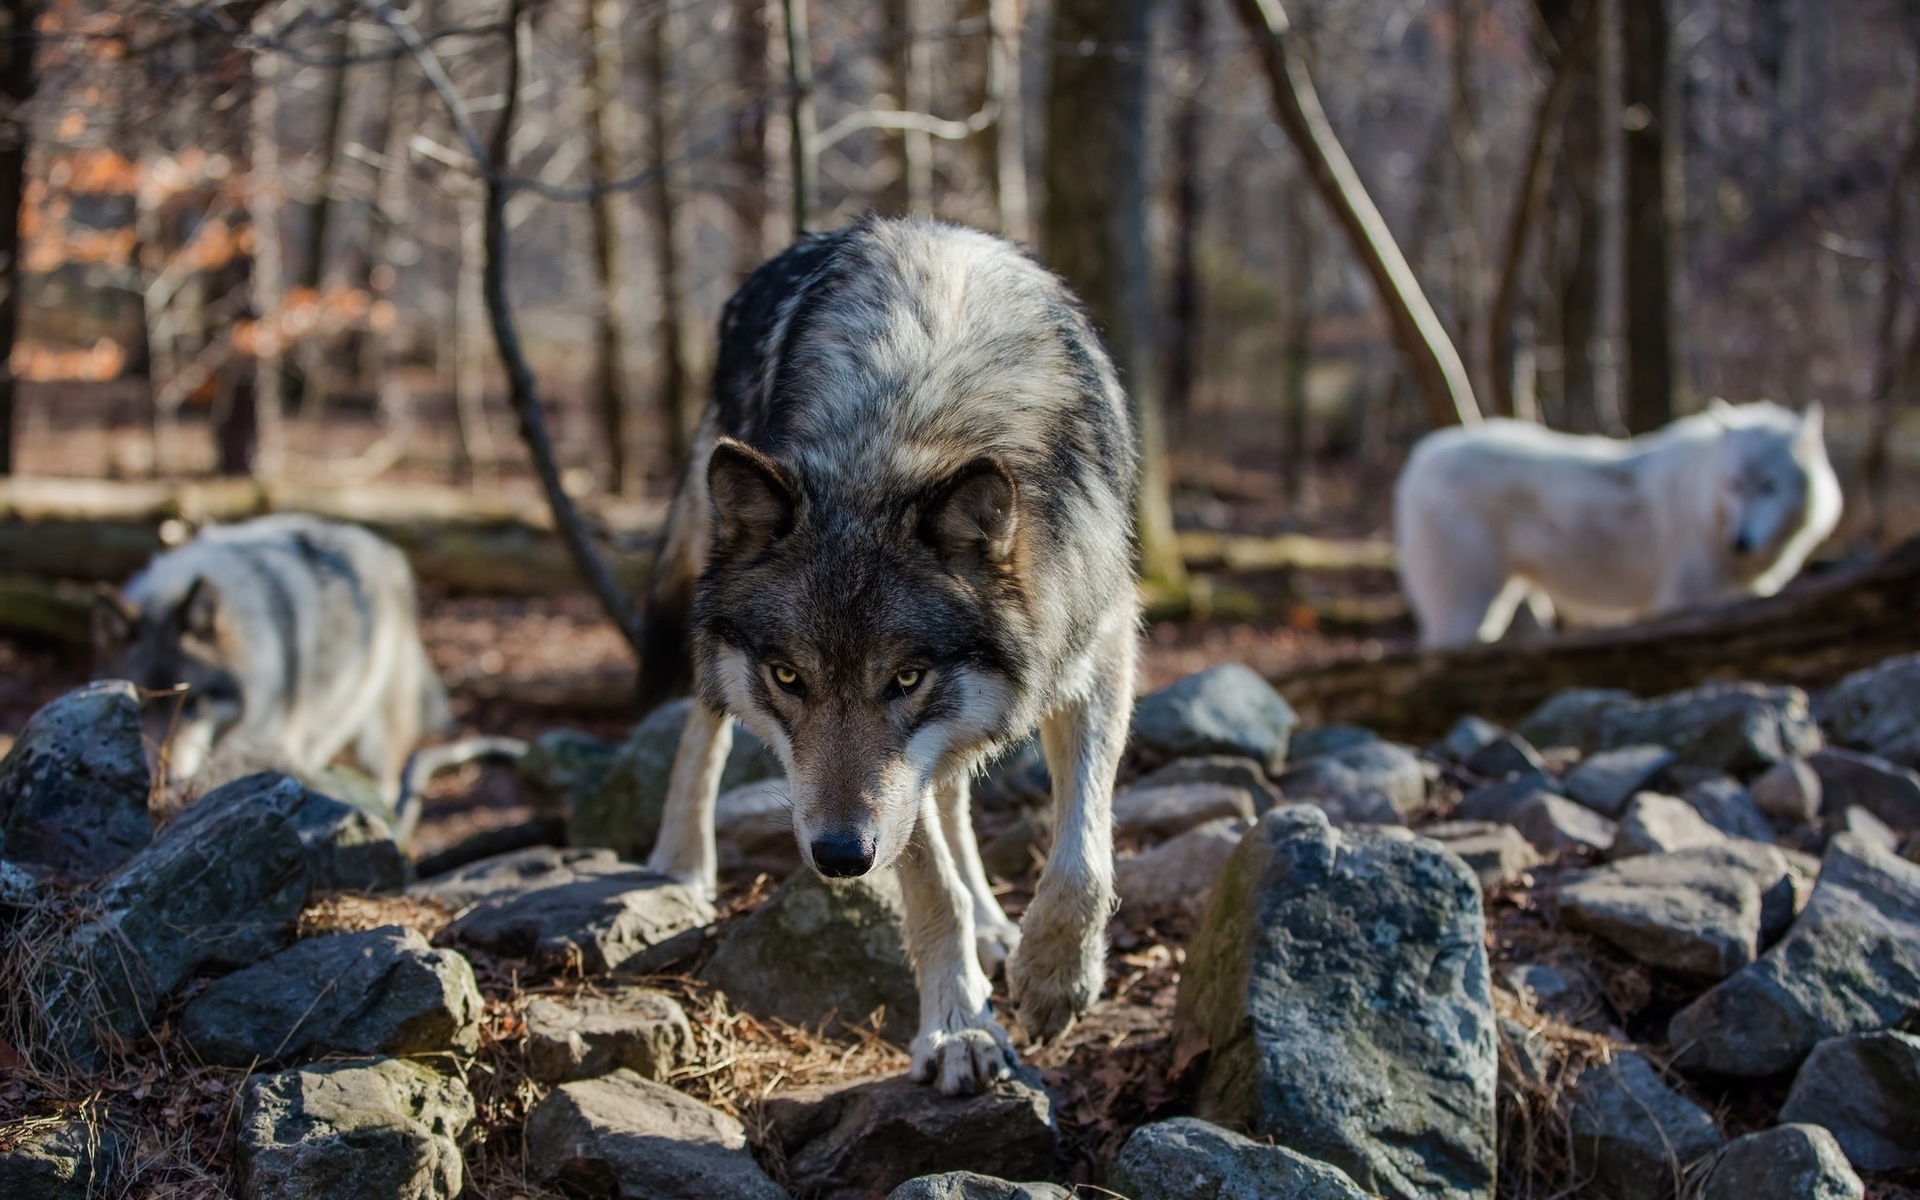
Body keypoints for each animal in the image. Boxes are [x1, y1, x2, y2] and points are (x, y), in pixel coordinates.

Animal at [641, 217, 1136, 1098]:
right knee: (704, 724)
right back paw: (682, 864)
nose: (840, 858)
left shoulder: (1101, 645)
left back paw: (999, 928)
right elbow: (930, 882)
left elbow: (1082, 857)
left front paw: (1053, 980)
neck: (911, 427)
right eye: (788, 677)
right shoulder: (883, 797)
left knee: (952, 794)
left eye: (905, 678)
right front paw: (958, 1028)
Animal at [1397, 399, 1843, 645]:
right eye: (1734, 484)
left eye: (1769, 486)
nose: (1741, 542)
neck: (1708, 504)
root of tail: (1420, 458)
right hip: (1467, 608)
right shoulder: (1684, 600)